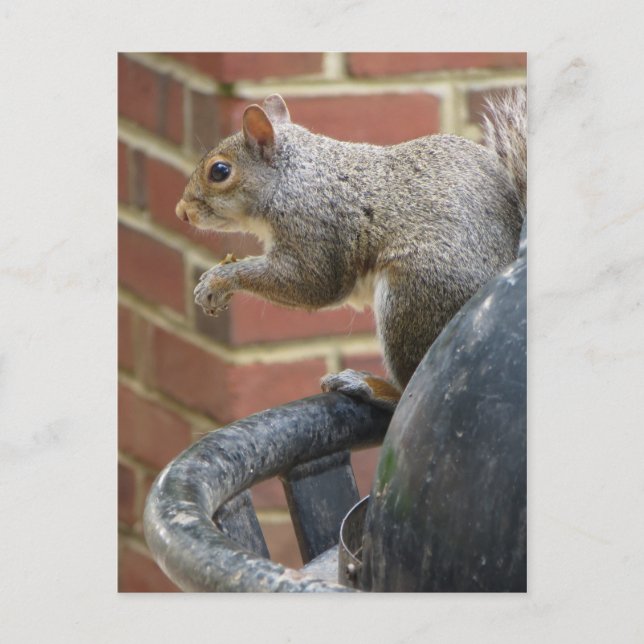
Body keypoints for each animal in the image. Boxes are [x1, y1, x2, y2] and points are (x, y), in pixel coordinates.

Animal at [176, 89, 527, 410]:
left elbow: (313, 284)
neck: (291, 180)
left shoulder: (313, 228)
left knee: (407, 389)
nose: (182, 212)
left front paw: (218, 281)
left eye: (219, 171)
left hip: (414, 296)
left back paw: (370, 385)